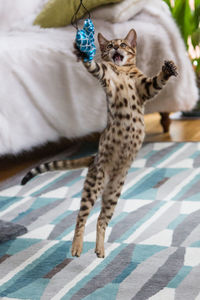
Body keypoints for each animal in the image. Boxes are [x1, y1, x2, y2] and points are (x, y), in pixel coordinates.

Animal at [21, 28, 178, 258]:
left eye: (123, 44)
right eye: (109, 45)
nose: (116, 48)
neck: (122, 70)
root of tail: (93, 159)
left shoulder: (145, 88)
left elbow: (157, 80)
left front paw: (168, 69)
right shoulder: (106, 78)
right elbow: (96, 67)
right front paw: (83, 53)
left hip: (113, 192)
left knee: (101, 220)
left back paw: (100, 249)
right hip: (94, 185)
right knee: (81, 218)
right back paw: (77, 247)